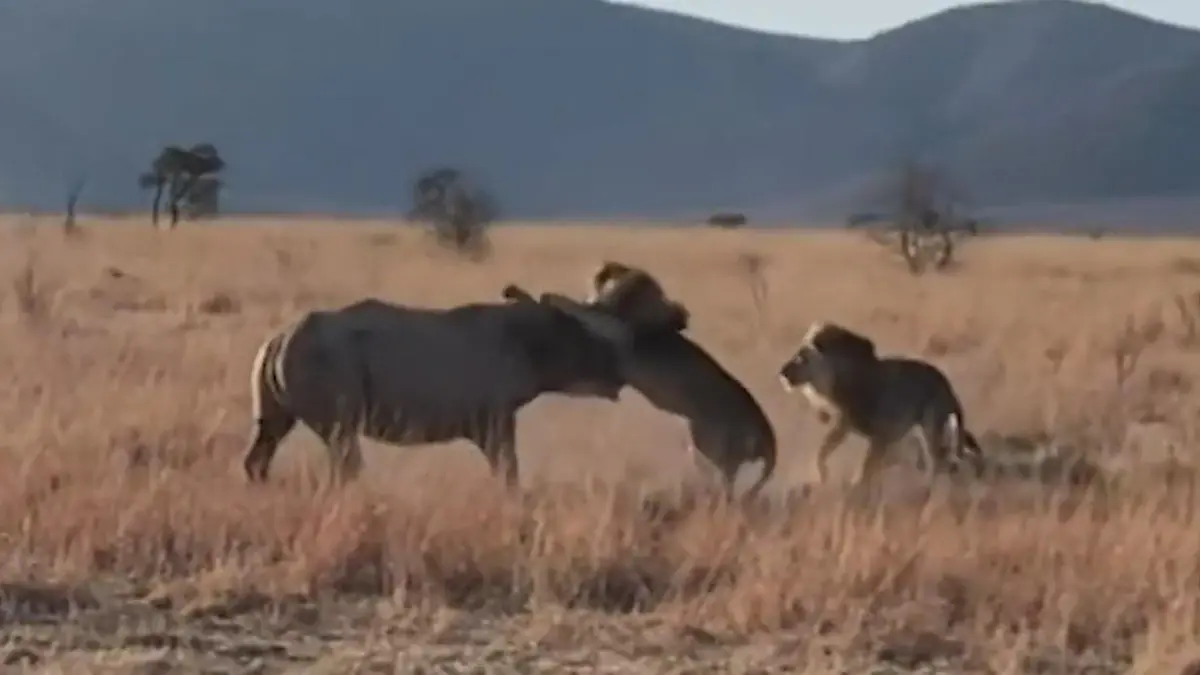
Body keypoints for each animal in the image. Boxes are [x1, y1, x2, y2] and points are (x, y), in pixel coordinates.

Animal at [777, 321, 984, 487]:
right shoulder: (849, 426)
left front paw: (851, 484)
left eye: (802, 358)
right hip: (922, 430)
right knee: (950, 457)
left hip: (931, 428)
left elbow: (862, 465)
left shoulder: (877, 433)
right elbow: (825, 452)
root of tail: (947, 386)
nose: (782, 373)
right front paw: (824, 476)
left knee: (940, 462)